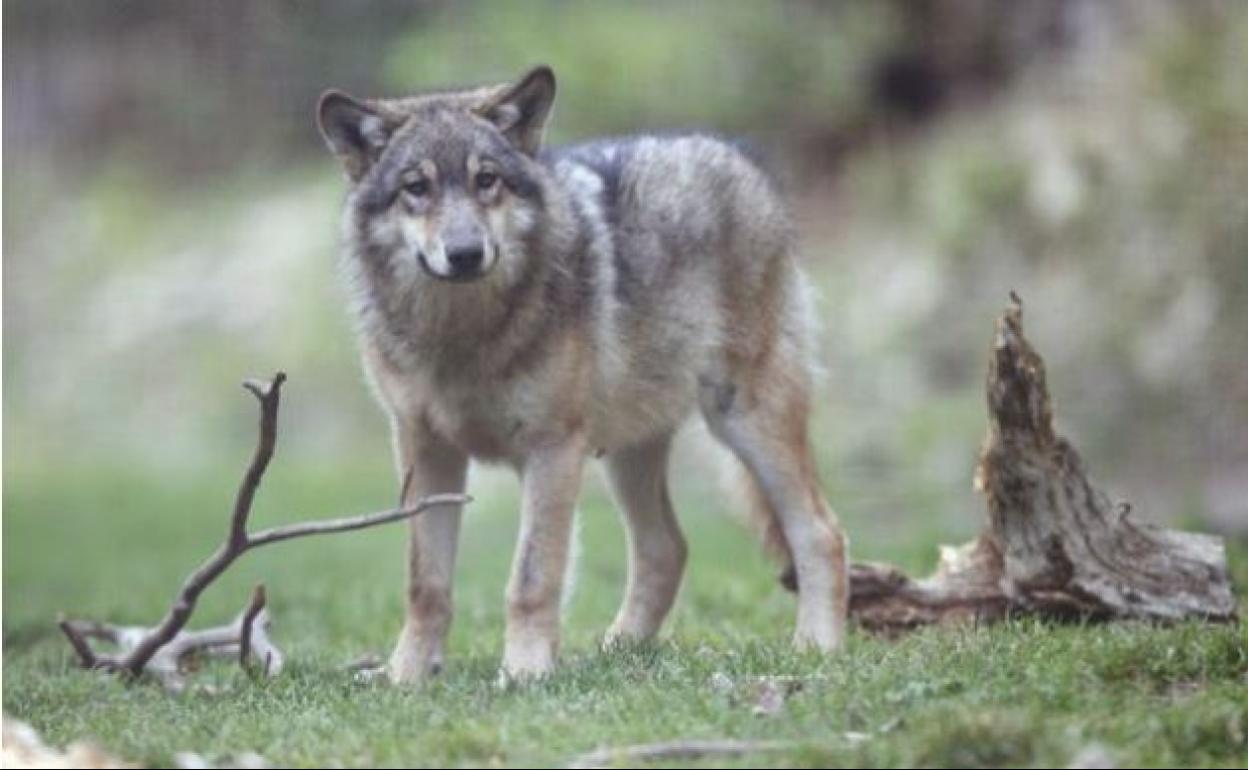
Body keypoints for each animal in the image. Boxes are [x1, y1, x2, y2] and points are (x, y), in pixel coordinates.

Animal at [316, 64, 853, 678]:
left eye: (486, 180)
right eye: (416, 188)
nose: (466, 253)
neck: (464, 335)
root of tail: (738, 154)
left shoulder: (553, 450)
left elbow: (531, 577)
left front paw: (525, 672)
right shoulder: (425, 452)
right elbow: (425, 582)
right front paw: (407, 677)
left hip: (744, 421)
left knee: (820, 533)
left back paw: (817, 648)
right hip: (628, 453)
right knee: (667, 548)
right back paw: (616, 651)